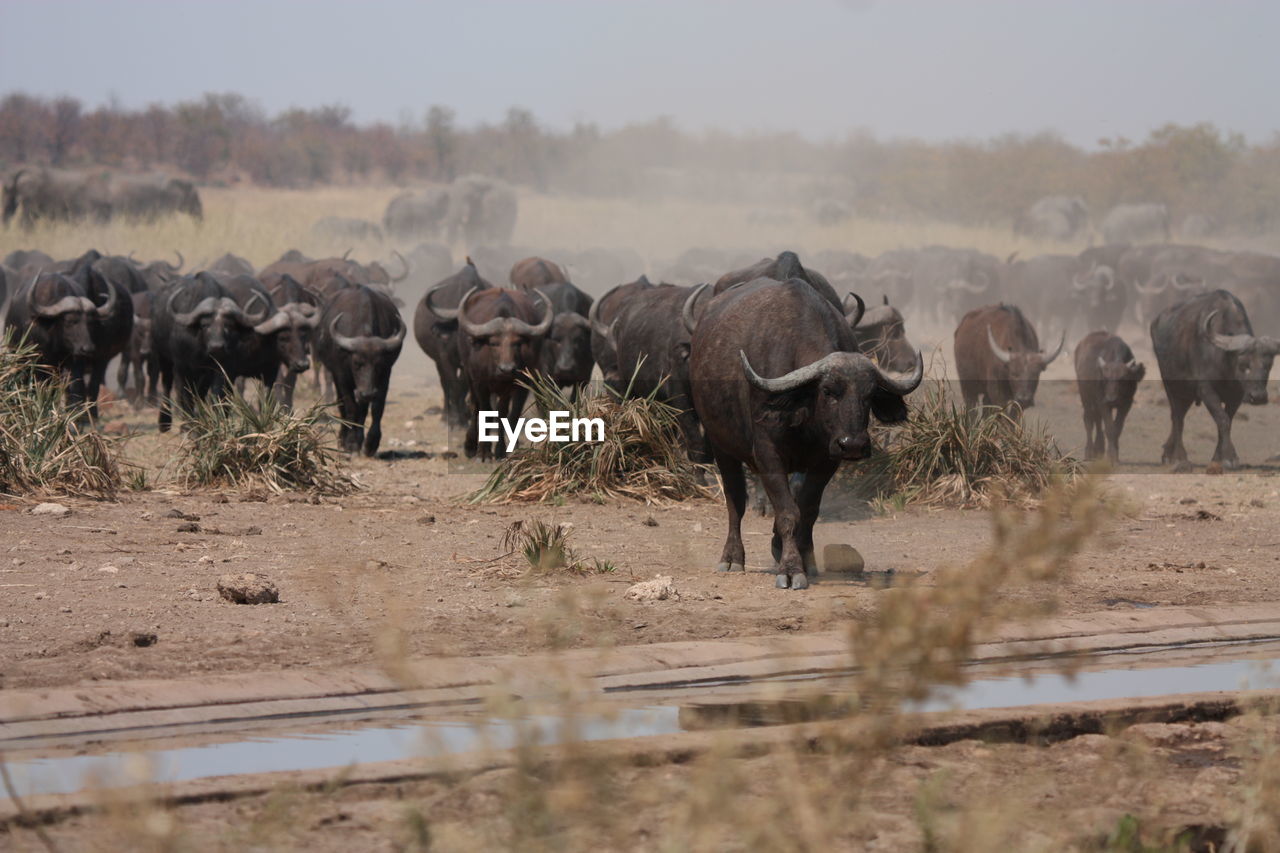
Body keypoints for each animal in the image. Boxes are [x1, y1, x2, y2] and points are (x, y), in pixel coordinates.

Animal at [314, 281, 404, 455]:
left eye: (379, 364)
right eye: (356, 363)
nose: (368, 393)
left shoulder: (385, 376)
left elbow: (377, 407)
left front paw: (371, 443)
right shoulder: (341, 376)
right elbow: (350, 407)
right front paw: (350, 443)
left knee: (363, 408)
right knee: (343, 405)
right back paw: (344, 439)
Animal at [691, 275, 921, 589]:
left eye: (869, 395)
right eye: (828, 391)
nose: (853, 444)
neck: (802, 405)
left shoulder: (827, 459)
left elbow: (807, 508)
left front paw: (803, 558)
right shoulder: (767, 455)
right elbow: (788, 511)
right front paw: (790, 569)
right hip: (721, 446)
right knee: (735, 501)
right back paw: (732, 558)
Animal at [1075, 333, 1146, 466]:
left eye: (1122, 378)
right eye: (1105, 378)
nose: (1111, 399)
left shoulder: (1126, 404)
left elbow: (1117, 428)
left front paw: (1115, 455)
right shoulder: (1103, 403)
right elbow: (1109, 428)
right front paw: (1111, 456)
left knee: (1097, 420)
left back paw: (1099, 449)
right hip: (1085, 397)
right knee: (1089, 421)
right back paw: (1089, 452)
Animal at [1157, 289, 1274, 468]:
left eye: (1268, 366)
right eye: (1243, 365)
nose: (1259, 397)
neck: (1223, 360)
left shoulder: (1237, 395)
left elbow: (1227, 421)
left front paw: (1219, 457)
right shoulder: (1206, 390)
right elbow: (1222, 419)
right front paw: (1229, 457)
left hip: (1187, 394)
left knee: (1179, 415)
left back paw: (1168, 454)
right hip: (1171, 386)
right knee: (1177, 418)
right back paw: (1178, 457)